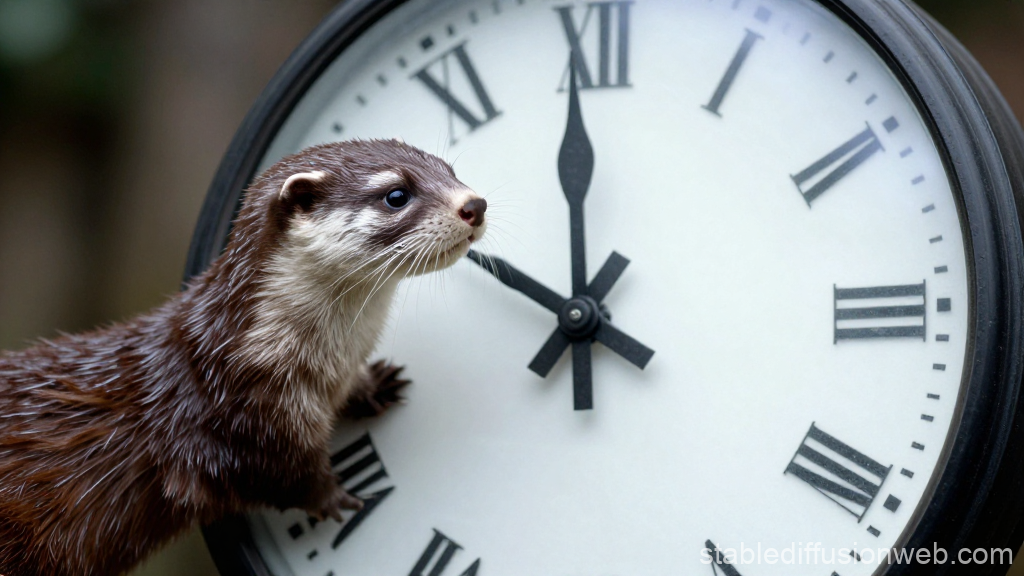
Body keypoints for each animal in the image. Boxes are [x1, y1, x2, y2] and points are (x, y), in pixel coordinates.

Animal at [0, 139, 487, 576]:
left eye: (450, 170)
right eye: (396, 194)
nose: (475, 204)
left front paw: (376, 383)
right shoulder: (233, 425)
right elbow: (276, 476)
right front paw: (335, 499)